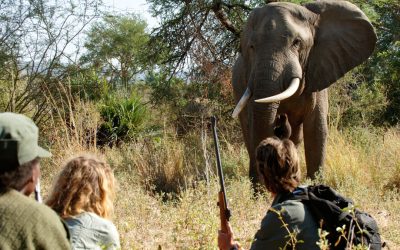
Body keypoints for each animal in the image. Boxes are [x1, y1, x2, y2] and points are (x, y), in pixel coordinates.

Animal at [231, 0, 376, 187]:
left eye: (297, 42)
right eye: (251, 47)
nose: (281, 119)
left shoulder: (318, 71)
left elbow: (316, 130)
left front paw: (316, 186)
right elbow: (257, 126)